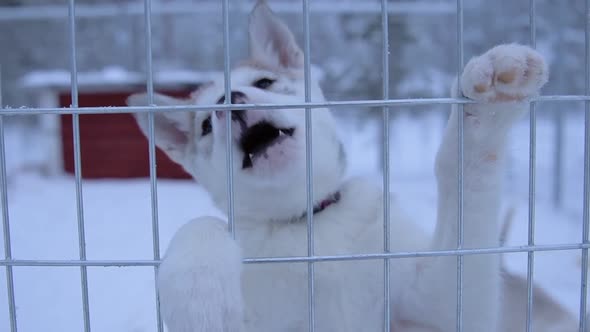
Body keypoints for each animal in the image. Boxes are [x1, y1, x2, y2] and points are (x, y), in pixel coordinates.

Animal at [130, 1, 580, 330]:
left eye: (264, 83)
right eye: (206, 125)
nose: (228, 104)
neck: (309, 222)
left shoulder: (437, 302)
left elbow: (458, 172)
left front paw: (487, 106)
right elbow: (202, 224)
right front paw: (196, 291)